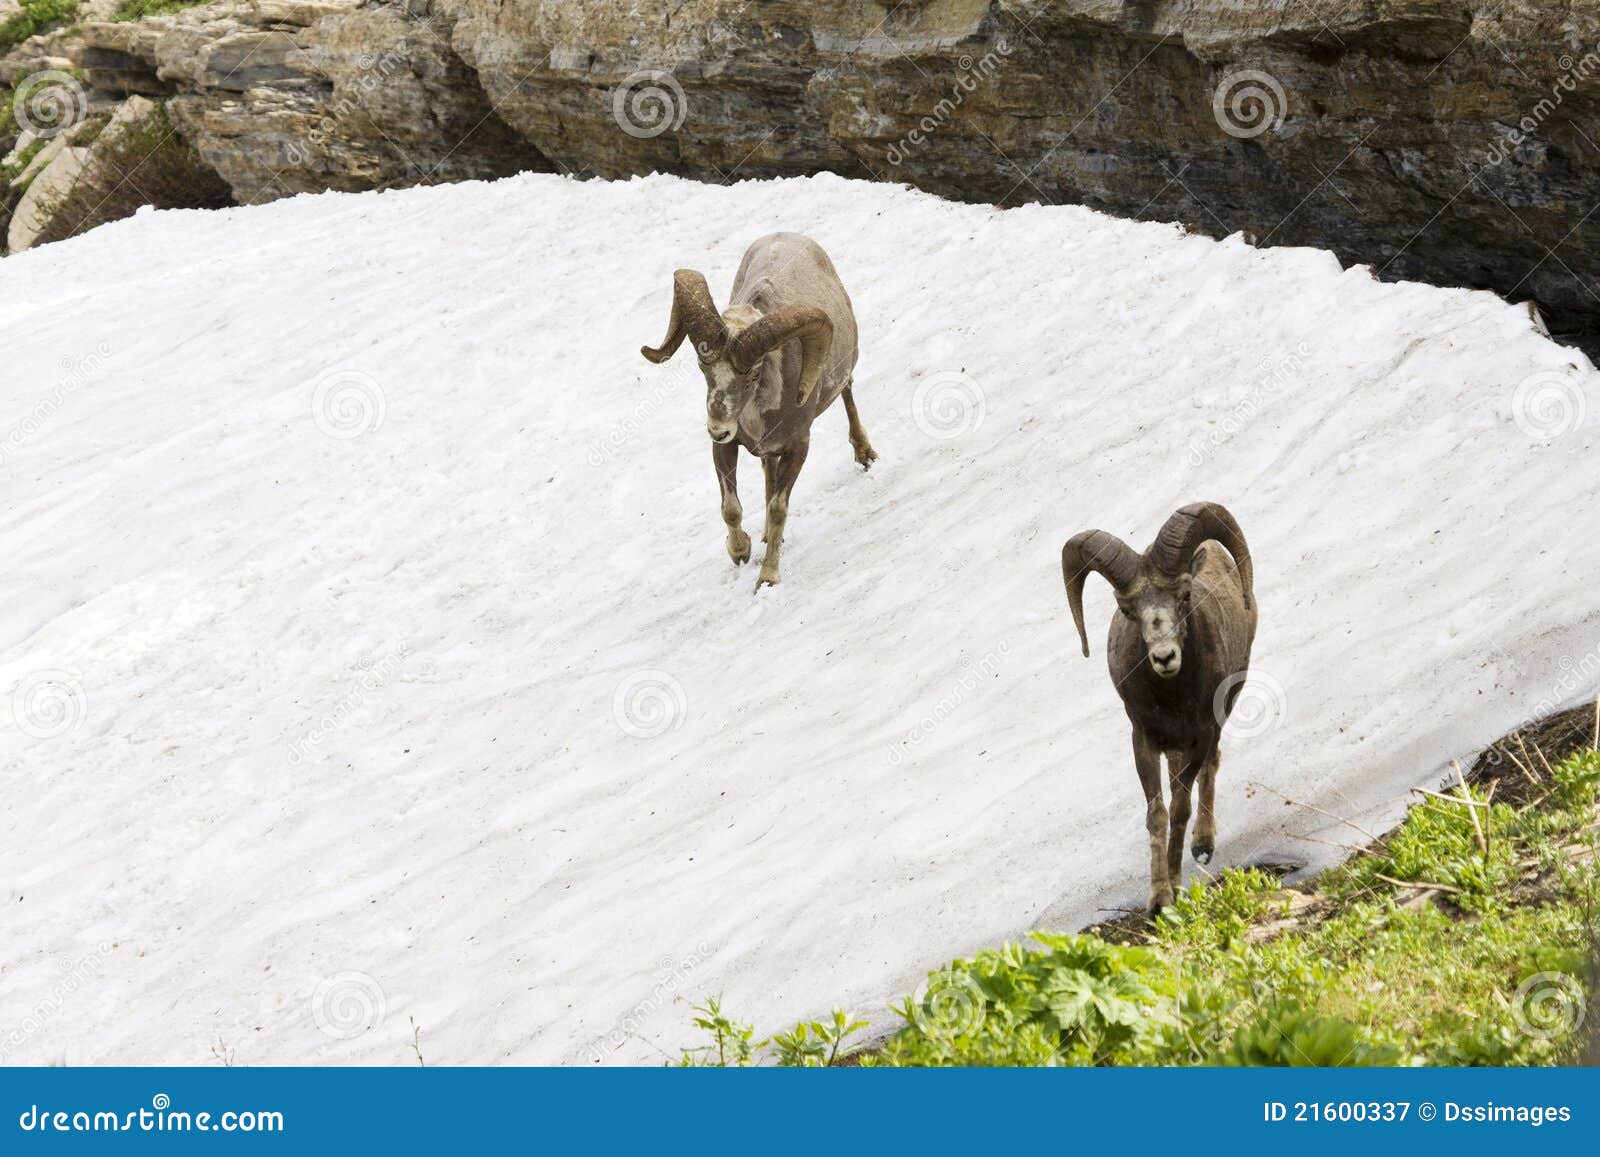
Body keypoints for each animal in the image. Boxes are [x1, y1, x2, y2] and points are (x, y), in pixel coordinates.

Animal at [643, 236, 883, 598]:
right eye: (703, 367)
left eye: (754, 373)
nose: (717, 428)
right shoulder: (725, 448)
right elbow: (731, 508)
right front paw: (740, 551)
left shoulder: (799, 446)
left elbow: (778, 508)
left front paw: (767, 578)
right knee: (767, 469)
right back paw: (767, 535)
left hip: (842, 377)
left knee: (848, 395)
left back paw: (865, 454)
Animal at [1062, 502, 1260, 921]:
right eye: (1126, 608)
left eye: (1184, 595)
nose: (1165, 657)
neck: (1172, 699)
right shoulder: (1144, 740)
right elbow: (1158, 814)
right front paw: (1158, 899)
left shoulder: (1202, 734)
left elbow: (1181, 807)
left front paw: (1175, 889)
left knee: (1209, 769)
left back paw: (1203, 846)